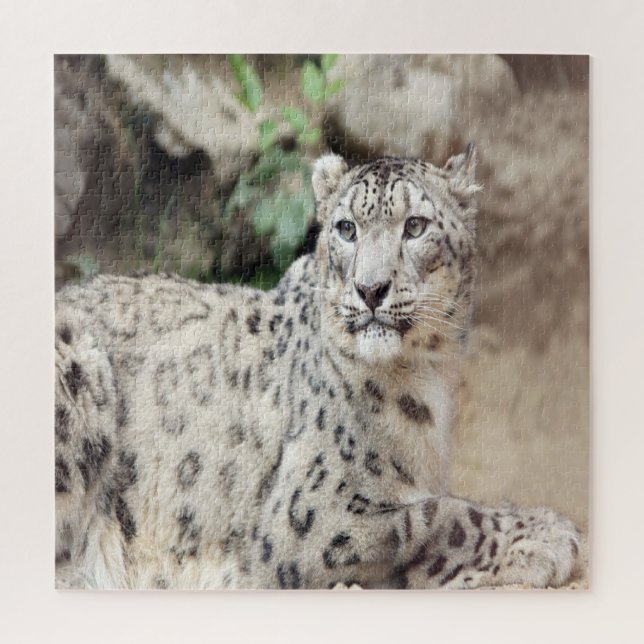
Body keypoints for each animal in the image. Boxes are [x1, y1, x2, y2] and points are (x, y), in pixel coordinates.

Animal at [54, 146, 582, 589]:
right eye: (347, 228)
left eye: (415, 226)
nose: (370, 289)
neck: (427, 374)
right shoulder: (314, 515)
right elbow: (437, 518)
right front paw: (546, 534)